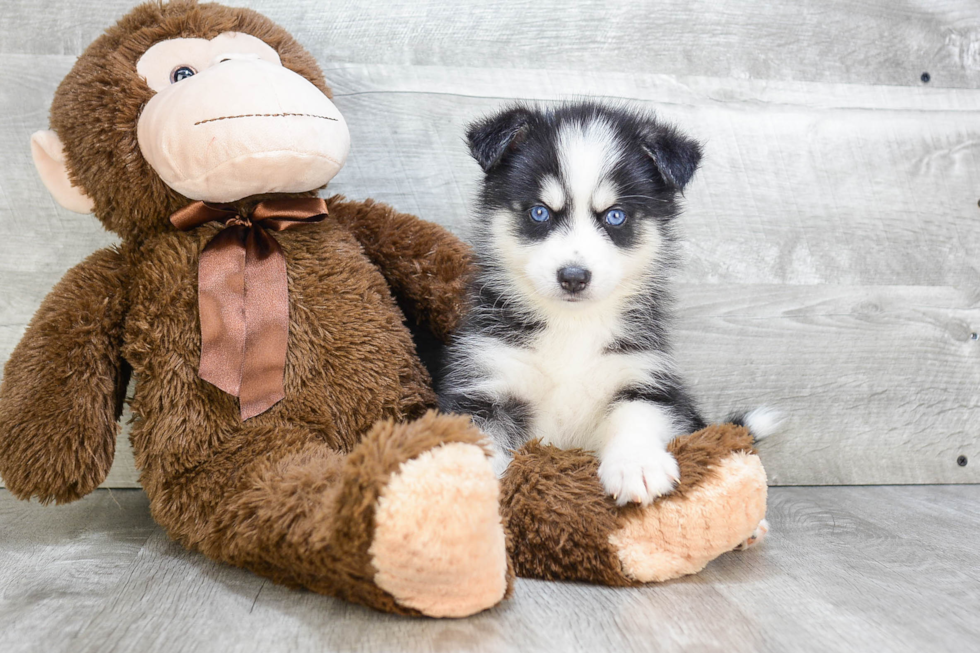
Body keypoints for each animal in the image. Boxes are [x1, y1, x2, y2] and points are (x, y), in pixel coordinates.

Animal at [438, 104, 772, 506]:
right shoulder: (486, 381)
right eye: (539, 212)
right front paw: (467, 488)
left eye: (615, 216)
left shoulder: (645, 376)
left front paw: (637, 465)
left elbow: (637, 413)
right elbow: (479, 439)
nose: (573, 276)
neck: (572, 327)